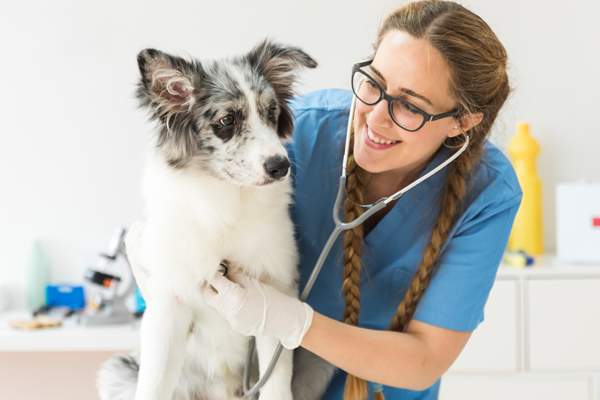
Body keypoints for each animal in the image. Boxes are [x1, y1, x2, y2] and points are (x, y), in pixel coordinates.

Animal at [96, 41, 336, 400]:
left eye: (271, 113)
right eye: (227, 119)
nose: (281, 166)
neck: (226, 203)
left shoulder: (276, 299)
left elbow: (277, 382)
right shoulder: (167, 305)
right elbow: (153, 384)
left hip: (319, 362)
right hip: (117, 373)